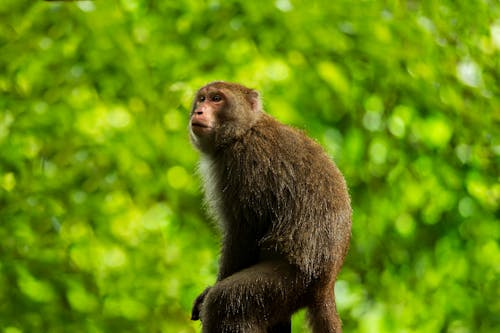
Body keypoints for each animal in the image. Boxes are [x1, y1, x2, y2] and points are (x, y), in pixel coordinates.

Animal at [188, 81, 352, 332]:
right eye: (202, 99)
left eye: (216, 99)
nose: (198, 111)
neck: (243, 132)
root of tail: (327, 281)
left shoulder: (245, 163)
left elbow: (245, 231)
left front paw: (211, 288)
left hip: (290, 281)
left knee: (225, 303)